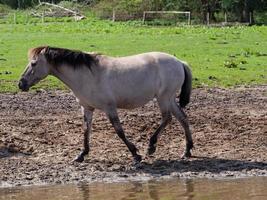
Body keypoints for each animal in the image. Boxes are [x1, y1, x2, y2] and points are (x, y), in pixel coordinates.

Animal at [18, 47, 195, 164]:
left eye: (33, 63)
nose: (21, 84)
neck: (87, 75)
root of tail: (179, 62)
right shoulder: (87, 108)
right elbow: (86, 131)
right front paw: (81, 155)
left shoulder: (109, 108)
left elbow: (119, 131)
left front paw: (135, 154)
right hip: (169, 99)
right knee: (182, 118)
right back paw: (187, 151)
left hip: (164, 98)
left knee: (167, 118)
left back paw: (151, 146)